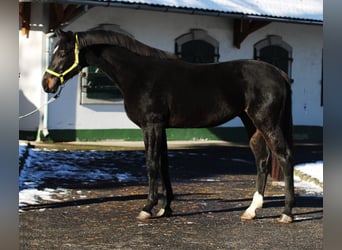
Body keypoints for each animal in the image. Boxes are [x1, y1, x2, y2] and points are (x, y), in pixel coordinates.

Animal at [42, 28, 294, 223]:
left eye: (63, 52)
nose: (47, 84)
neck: (138, 74)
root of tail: (278, 73)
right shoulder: (160, 128)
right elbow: (164, 165)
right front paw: (165, 208)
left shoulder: (151, 125)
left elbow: (152, 164)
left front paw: (147, 208)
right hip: (251, 123)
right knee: (262, 160)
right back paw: (251, 210)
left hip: (266, 122)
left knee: (284, 157)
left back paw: (287, 213)